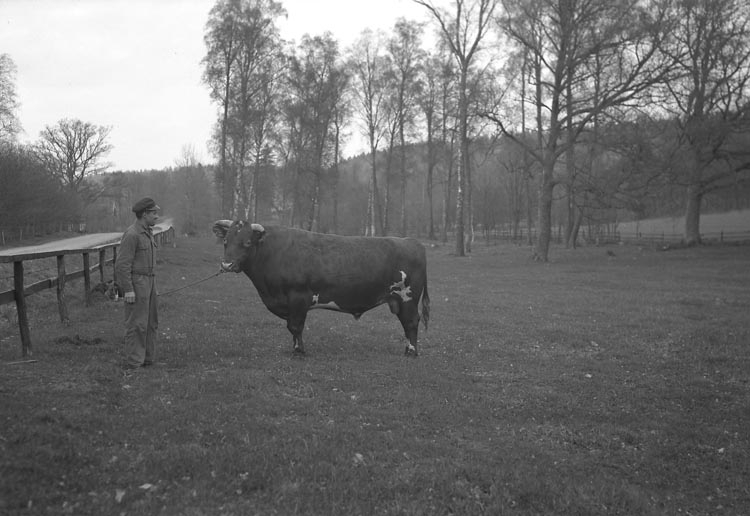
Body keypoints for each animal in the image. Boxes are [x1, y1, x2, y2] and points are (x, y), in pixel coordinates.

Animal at [214, 220, 432, 356]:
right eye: (225, 241)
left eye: (247, 242)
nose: (226, 265)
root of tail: (412, 242)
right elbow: (292, 327)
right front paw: (296, 349)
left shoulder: (299, 297)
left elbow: (296, 326)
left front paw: (299, 352)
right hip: (398, 300)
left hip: (408, 298)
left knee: (411, 323)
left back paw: (411, 352)